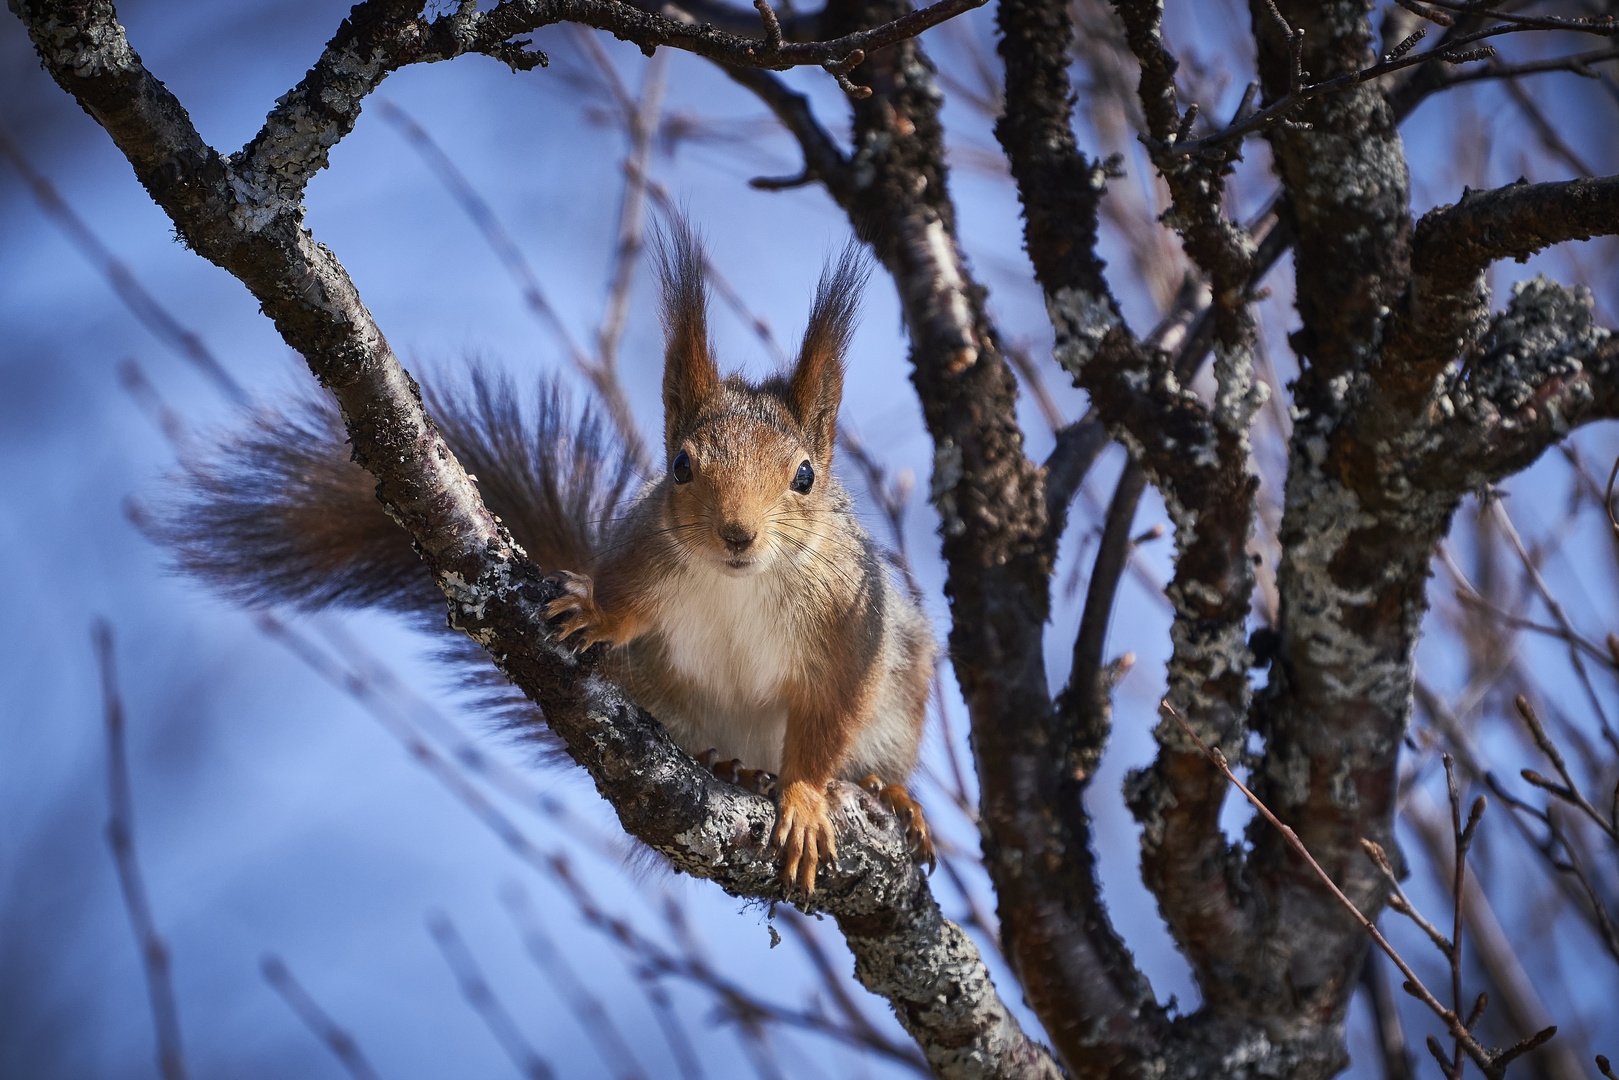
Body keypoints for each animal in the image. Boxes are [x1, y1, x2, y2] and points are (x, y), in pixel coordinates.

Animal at [161, 223, 939, 893]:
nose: (736, 534)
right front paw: (596, 614)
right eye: (680, 467)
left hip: (904, 692)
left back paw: (887, 793)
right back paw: (726, 766)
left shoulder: (850, 629)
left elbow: (827, 721)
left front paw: (804, 799)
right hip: (657, 691)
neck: (739, 583)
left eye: (805, 476)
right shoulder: (642, 550)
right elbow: (622, 598)